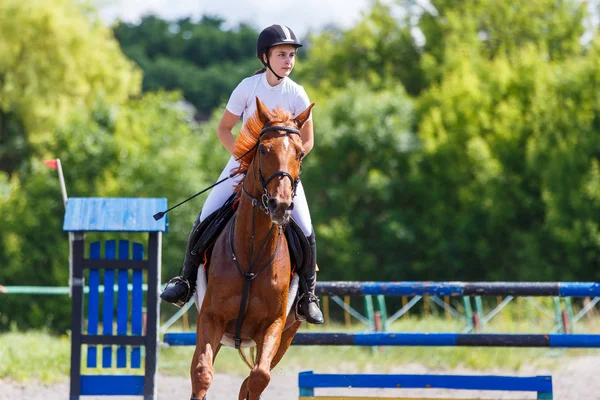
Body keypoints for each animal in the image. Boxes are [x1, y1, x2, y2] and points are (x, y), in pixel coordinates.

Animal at [191, 97, 314, 400]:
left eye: (300, 154)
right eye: (263, 149)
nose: (281, 206)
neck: (250, 256)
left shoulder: (273, 326)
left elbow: (259, 377)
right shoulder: (210, 318)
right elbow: (202, 373)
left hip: (287, 335)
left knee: (253, 376)